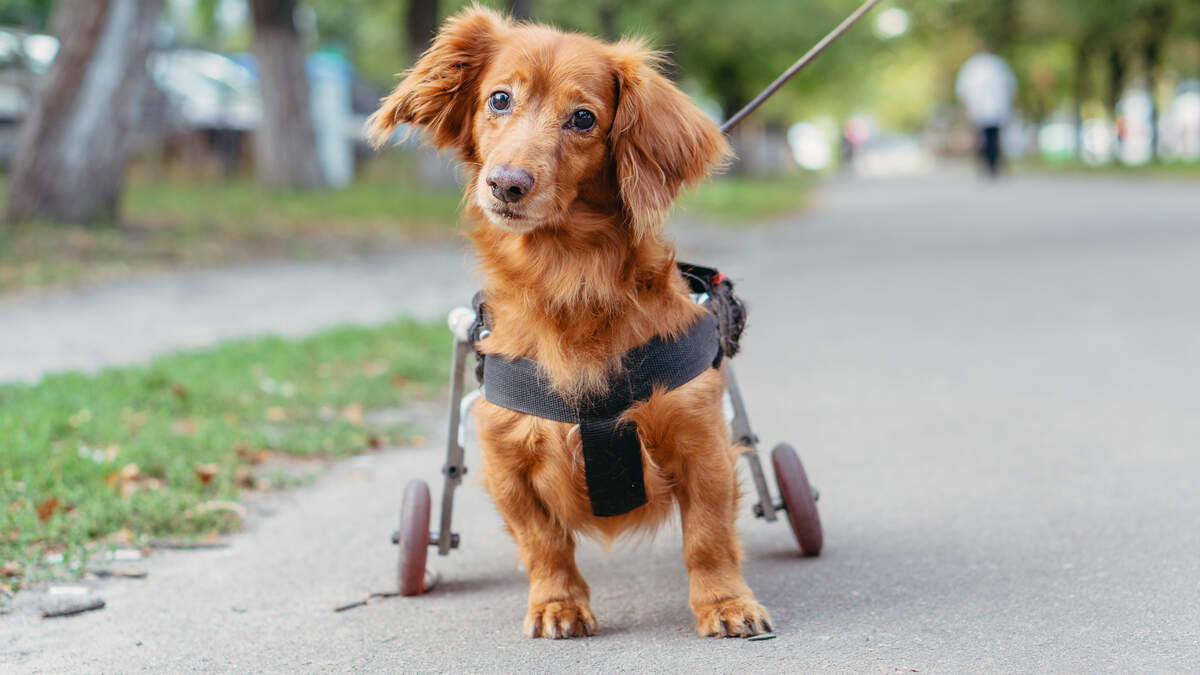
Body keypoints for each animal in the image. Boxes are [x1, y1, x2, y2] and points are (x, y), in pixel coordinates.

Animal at [368, 6, 771, 639]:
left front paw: (725, 602)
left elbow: (707, 538)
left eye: (583, 118)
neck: (570, 281)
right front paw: (558, 604)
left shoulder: (701, 443)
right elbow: (544, 542)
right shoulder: (506, 458)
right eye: (499, 99)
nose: (506, 183)